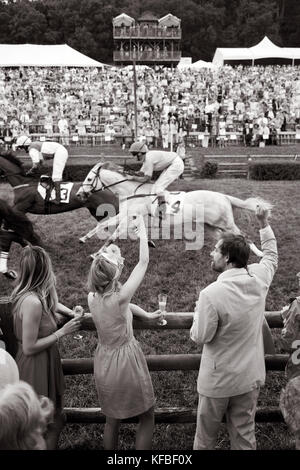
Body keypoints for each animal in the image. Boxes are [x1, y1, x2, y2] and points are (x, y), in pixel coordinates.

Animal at [75, 162, 272, 258]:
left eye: (89, 178)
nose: (78, 194)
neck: (131, 192)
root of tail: (224, 197)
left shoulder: (129, 218)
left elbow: (112, 236)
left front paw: (96, 254)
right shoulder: (125, 216)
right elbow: (101, 226)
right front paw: (83, 239)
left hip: (227, 223)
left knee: (244, 236)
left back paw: (260, 254)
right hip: (209, 224)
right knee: (221, 237)